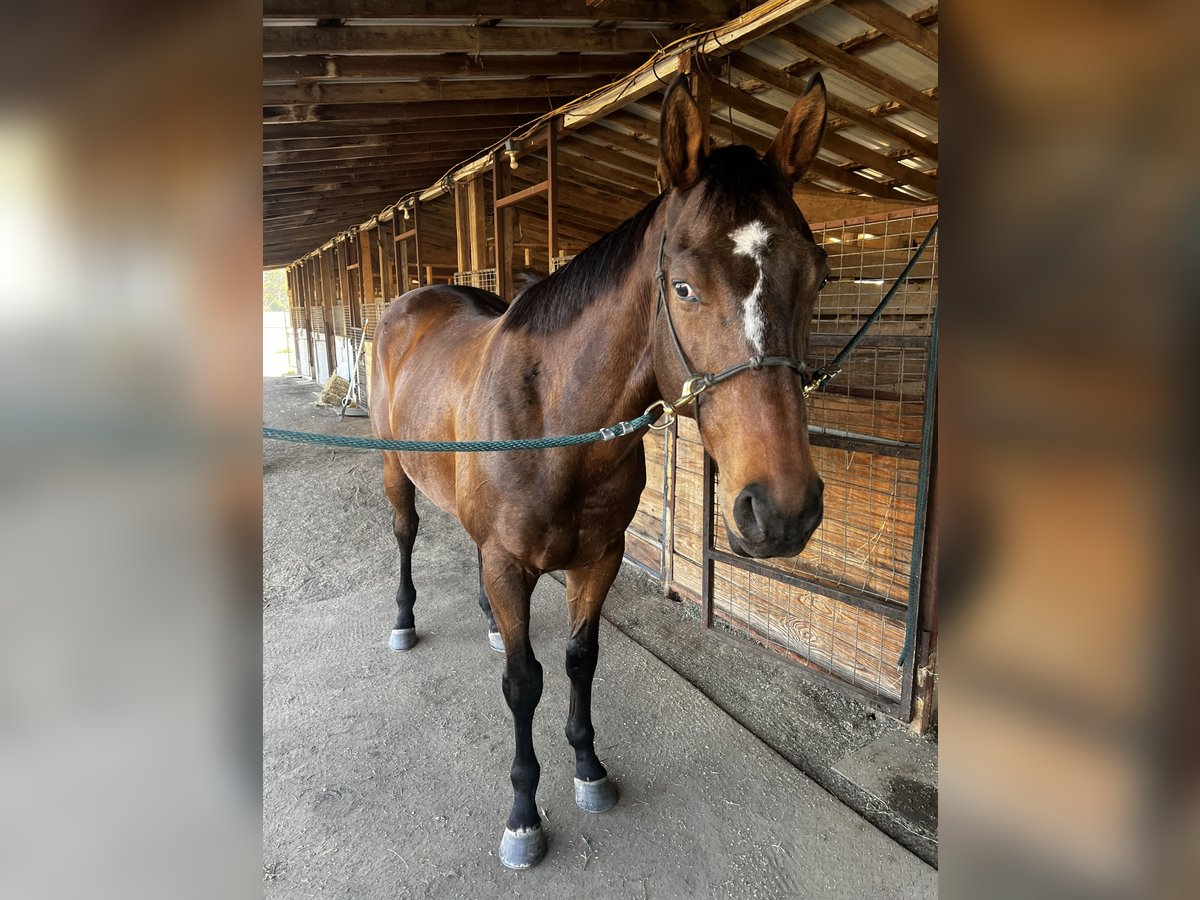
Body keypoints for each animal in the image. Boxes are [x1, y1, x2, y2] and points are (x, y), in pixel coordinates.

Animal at [369, 74, 830, 868]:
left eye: (814, 278)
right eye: (682, 288)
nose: (783, 509)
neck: (555, 424)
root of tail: (411, 302)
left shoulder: (600, 558)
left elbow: (581, 659)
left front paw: (588, 768)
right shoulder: (511, 562)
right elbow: (524, 682)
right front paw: (524, 814)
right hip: (399, 474)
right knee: (404, 536)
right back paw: (404, 621)